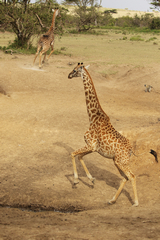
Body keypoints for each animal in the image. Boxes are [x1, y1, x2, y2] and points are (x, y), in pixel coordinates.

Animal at [67, 62, 139, 206]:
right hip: (117, 161)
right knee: (125, 178)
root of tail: (130, 150)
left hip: (121, 162)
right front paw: (91, 179)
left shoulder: (90, 145)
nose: (68, 75)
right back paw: (112, 200)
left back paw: (135, 202)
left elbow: (72, 154)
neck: (92, 117)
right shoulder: (93, 148)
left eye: (75, 70)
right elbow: (79, 157)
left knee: (132, 176)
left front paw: (76, 181)